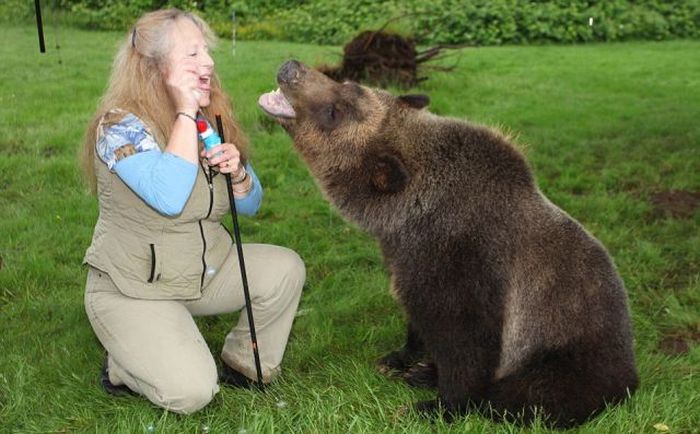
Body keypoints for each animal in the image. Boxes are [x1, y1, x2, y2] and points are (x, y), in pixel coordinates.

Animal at [258, 59, 640, 428]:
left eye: (335, 110)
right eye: (347, 85)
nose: (291, 67)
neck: (405, 220)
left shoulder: (466, 262)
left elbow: (466, 341)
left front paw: (435, 404)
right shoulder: (407, 259)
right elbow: (417, 318)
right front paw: (401, 359)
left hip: (570, 350)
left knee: (537, 392)